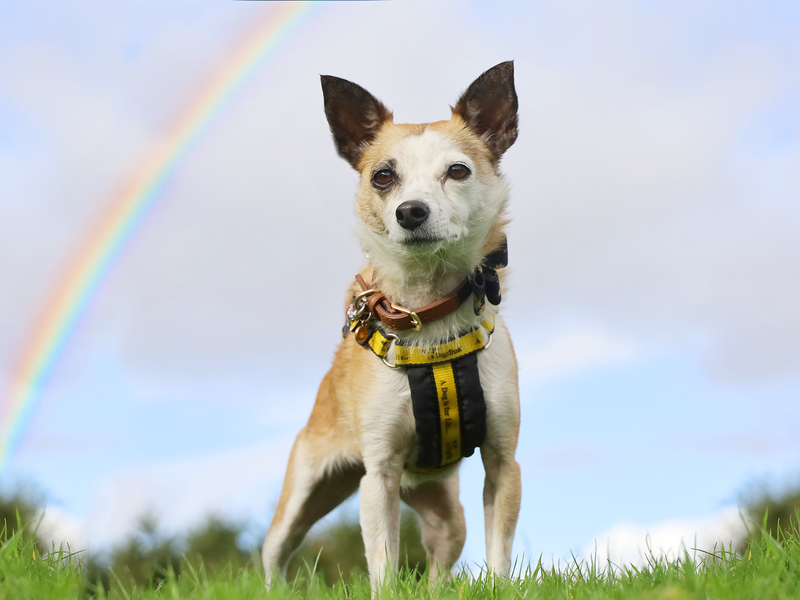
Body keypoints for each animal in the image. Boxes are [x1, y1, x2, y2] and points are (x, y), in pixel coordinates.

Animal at [262, 62, 520, 592]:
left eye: (458, 171)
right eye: (383, 176)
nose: (410, 211)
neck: (430, 312)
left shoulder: (504, 463)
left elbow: (499, 550)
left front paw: (499, 588)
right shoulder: (377, 476)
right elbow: (383, 560)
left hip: (448, 516)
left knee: (441, 558)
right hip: (304, 493)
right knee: (274, 551)